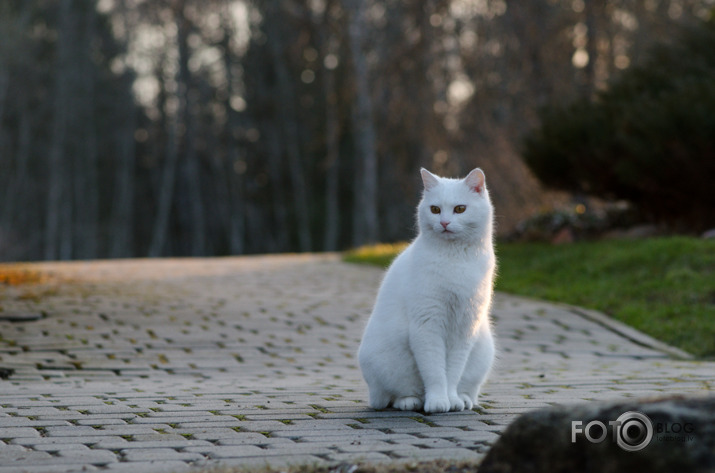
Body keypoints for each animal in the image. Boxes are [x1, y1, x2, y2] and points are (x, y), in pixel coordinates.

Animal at [358, 168, 498, 412]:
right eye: (435, 209)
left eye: (460, 209)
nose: (444, 222)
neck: (455, 259)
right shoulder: (428, 325)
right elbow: (434, 371)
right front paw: (438, 402)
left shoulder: (464, 327)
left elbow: (452, 372)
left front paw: (451, 400)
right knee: (395, 396)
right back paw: (411, 402)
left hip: (483, 351)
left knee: (468, 389)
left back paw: (464, 400)